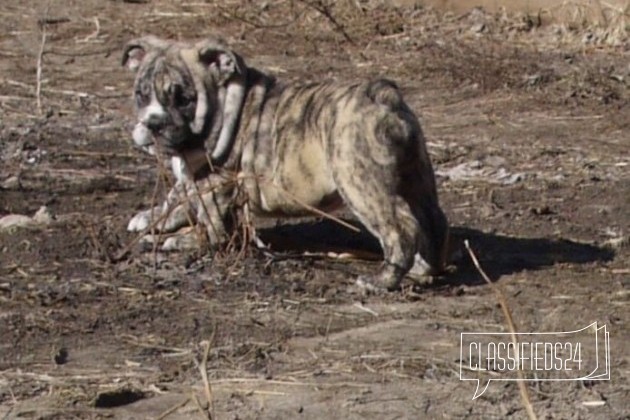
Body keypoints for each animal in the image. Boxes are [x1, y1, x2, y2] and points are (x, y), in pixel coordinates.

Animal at [122, 36, 450, 290]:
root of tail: (382, 96)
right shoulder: (194, 179)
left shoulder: (214, 187)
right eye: (141, 95)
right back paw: (424, 270)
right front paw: (151, 217)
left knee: (400, 228)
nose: (153, 124)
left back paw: (382, 280)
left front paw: (176, 239)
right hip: (416, 177)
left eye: (184, 100)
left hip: (360, 183)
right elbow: (177, 196)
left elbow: (210, 228)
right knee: (432, 220)